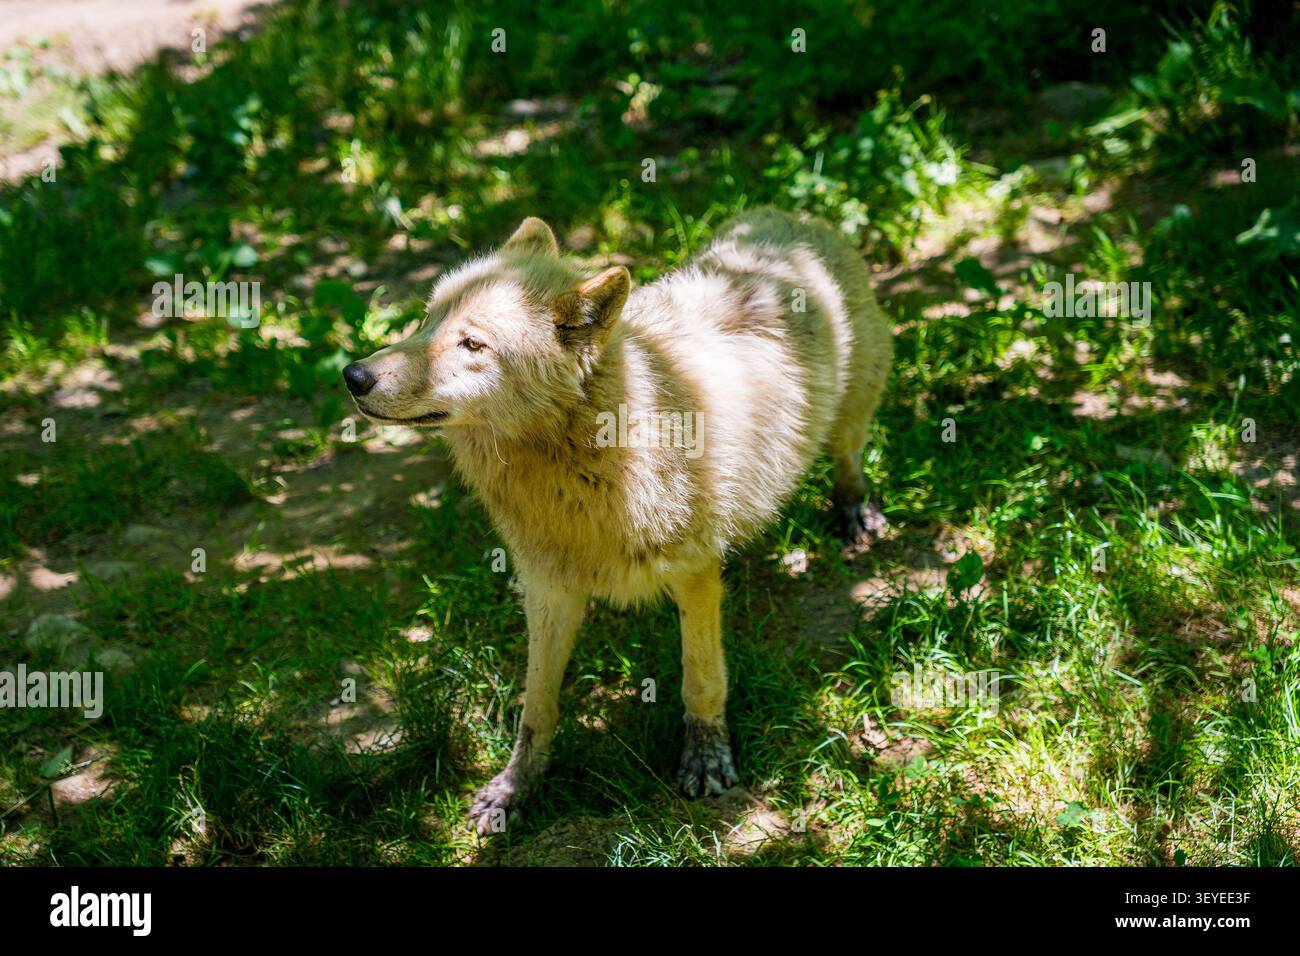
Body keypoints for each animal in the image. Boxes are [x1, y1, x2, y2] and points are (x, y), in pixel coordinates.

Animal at [343, 207, 892, 834]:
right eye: (427, 320)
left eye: (472, 343)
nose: (353, 376)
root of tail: (791, 217)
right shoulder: (547, 586)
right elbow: (537, 705)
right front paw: (514, 789)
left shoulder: (695, 574)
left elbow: (700, 681)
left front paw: (707, 761)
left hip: (853, 411)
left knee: (850, 453)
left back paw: (853, 513)